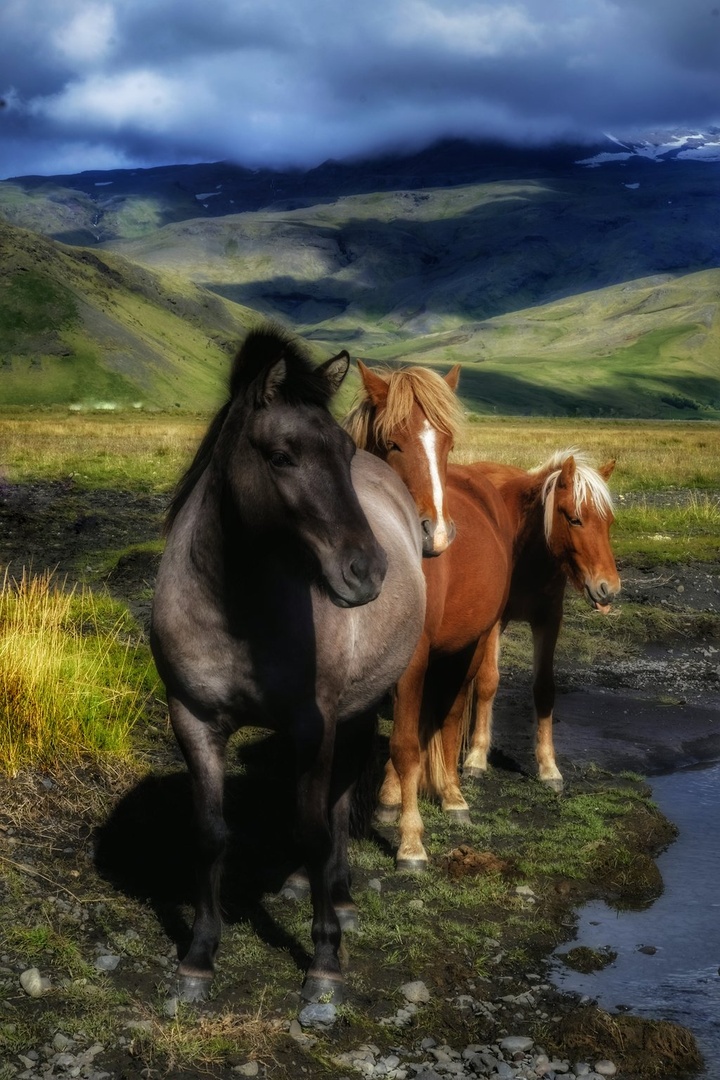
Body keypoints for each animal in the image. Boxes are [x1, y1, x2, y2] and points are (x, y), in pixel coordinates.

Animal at [150, 327, 426, 1005]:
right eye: (281, 456)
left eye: (344, 451)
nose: (367, 571)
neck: (236, 608)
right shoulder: (192, 719)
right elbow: (211, 833)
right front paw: (198, 957)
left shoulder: (312, 721)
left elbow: (314, 827)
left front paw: (324, 965)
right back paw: (308, 884)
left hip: (360, 706)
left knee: (338, 799)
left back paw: (341, 896)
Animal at [345, 362, 513, 870]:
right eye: (391, 443)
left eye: (447, 444)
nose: (435, 534)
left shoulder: (415, 659)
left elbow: (406, 744)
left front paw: (411, 843)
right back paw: (389, 798)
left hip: (470, 646)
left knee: (449, 718)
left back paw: (452, 797)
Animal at [462, 450, 620, 791]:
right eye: (574, 518)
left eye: (608, 522)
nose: (609, 589)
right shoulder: (494, 623)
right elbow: (488, 682)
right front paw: (476, 757)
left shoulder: (549, 621)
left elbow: (545, 689)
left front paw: (549, 767)